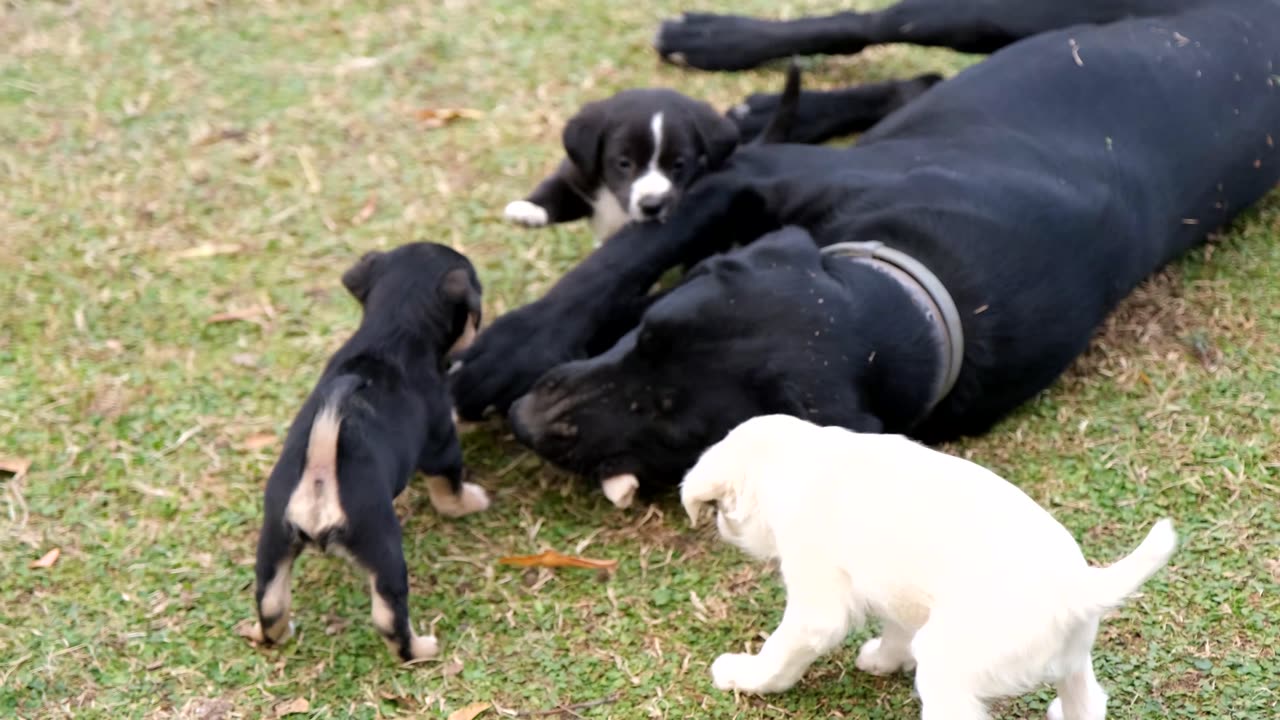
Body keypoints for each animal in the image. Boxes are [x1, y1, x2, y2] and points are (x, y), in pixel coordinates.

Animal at [245, 240, 488, 661]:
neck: (391, 330)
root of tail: (320, 476)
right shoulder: (442, 445)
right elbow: (450, 492)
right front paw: (472, 500)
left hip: (274, 541)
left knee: (271, 603)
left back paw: (271, 633)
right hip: (383, 550)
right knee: (390, 619)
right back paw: (421, 649)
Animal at [453, 0, 1280, 504]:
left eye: (677, 424)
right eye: (647, 339)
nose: (530, 418)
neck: (916, 292)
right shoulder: (749, 181)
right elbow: (615, 265)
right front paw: (504, 352)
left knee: (914, 72)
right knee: (868, 25)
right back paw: (715, 40)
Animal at [686, 415, 1172, 717]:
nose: (720, 527)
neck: (802, 459)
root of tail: (1079, 589)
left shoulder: (816, 609)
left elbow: (781, 652)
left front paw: (745, 676)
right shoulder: (899, 595)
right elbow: (896, 633)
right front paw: (883, 660)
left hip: (945, 670)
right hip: (1073, 665)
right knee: (1088, 704)